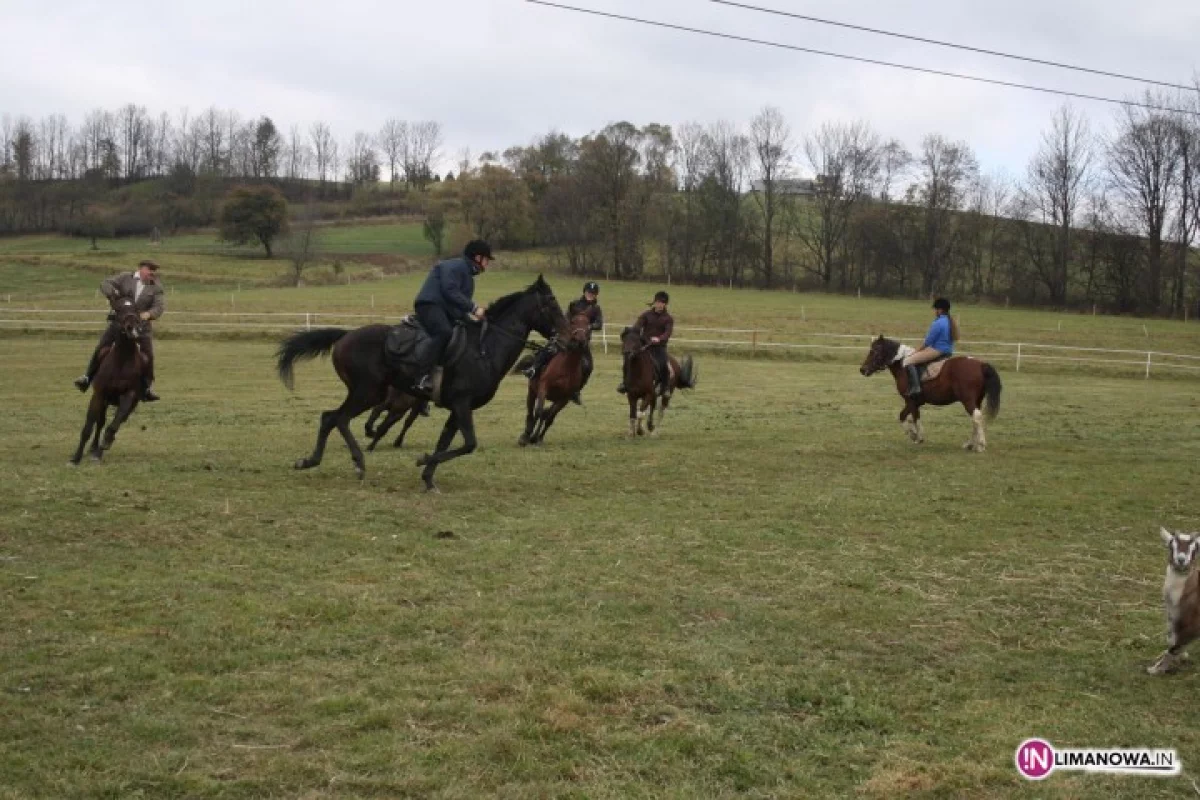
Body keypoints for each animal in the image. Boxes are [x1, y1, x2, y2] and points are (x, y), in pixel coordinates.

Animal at [70, 298, 148, 462]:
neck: (121, 361)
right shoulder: (99, 396)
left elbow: (113, 426)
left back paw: (99, 449)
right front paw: (76, 458)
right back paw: (93, 447)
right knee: (100, 422)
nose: (132, 327)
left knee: (113, 423)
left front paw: (103, 448)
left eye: (137, 309)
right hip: (104, 401)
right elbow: (88, 427)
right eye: (118, 309)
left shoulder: (128, 397)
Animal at [276, 275, 566, 491]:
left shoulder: (458, 409)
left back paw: (315, 460)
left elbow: (448, 443)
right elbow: (468, 444)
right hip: (367, 392)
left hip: (369, 393)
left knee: (332, 418)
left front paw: (428, 478)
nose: (567, 338)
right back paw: (354, 461)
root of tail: (346, 335)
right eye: (552, 305)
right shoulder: (462, 404)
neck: (485, 349)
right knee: (336, 418)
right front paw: (422, 460)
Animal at [513, 309, 592, 448]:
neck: (567, 367)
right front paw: (529, 437)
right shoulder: (543, 387)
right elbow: (538, 412)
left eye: (588, 324)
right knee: (531, 411)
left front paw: (537, 438)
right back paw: (526, 435)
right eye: (573, 322)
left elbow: (549, 417)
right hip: (532, 391)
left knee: (545, 414)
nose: (580, 341)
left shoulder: (564, 398)